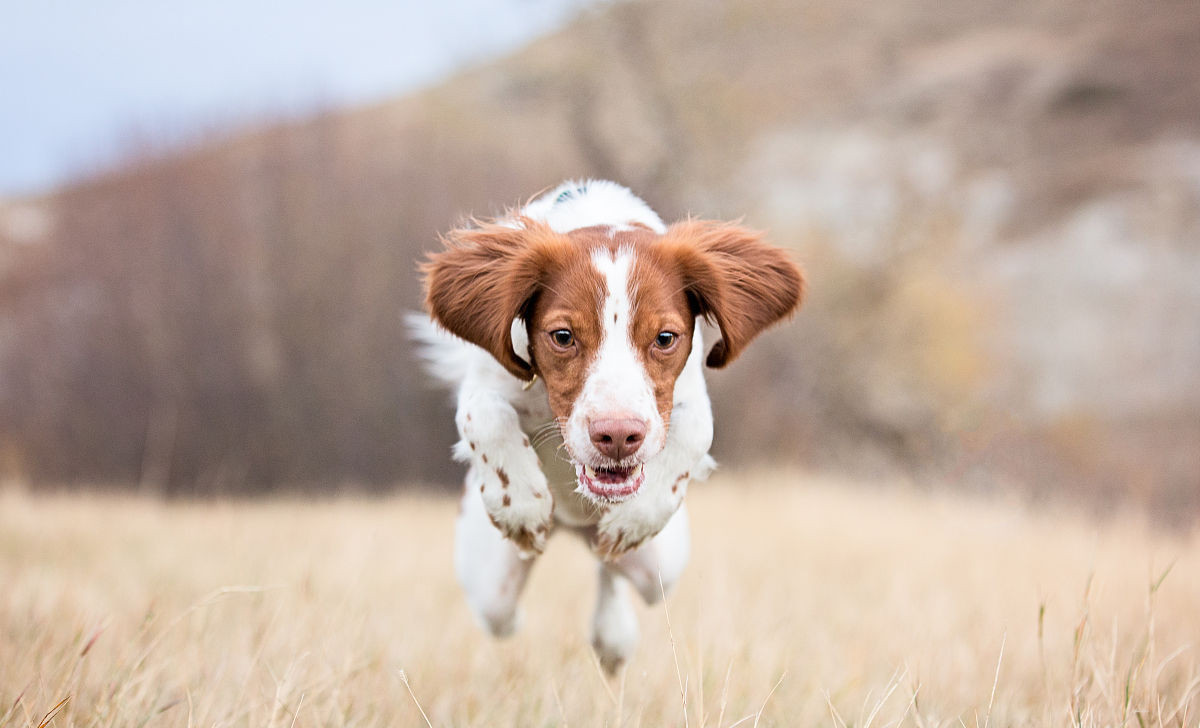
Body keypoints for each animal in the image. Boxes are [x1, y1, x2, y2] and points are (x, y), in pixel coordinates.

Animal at [415, 181, 806, 671]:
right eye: (562, 336)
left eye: (665, 338)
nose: (618, 436)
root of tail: (572, 527)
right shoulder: (484, 381)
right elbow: (484, 416)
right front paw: (521, 504)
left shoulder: (690, 398)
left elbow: (696, 432)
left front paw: (633, 520)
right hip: (490, 588)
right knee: (506, 611)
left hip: (662, 566)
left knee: (611, 564)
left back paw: (613, 629)